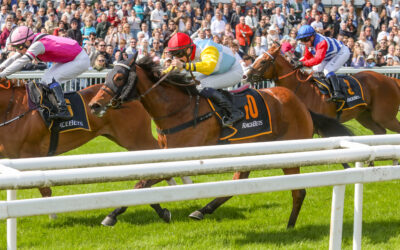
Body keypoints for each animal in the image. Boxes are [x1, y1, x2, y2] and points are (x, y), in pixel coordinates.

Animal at [88, 56, 354, 229]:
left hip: (289, 152)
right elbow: (143, 183)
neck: (177, 109)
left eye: (119, 77)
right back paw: (202, 210)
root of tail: (302, 106)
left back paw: (289, 226)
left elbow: (140, 184)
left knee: (298, 191)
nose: (94, 105)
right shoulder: (164, 154)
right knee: (238, 182)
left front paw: (112, 215)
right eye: (108, 75)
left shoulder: (183, 155)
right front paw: (162, 211)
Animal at [242, 43, 400, 135]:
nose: (245, 75)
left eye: (263, 61)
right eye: (256, 58)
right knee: (380, 131)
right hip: (365, 116)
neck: (302, 89)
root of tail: (390, 79)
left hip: (385, 116)